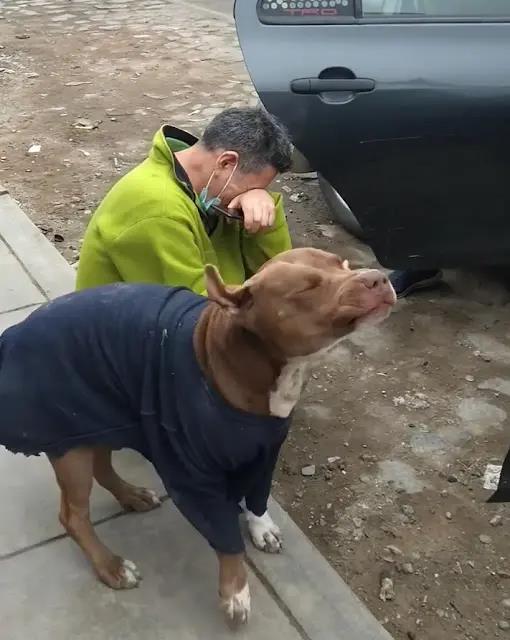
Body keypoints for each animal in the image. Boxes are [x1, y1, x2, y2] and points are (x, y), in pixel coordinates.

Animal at [0, 246, 396, 624]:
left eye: (343, 264)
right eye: (306, 288)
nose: (378, 278)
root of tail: (14, 334)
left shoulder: (265, 452)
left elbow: (257, 495)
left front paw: (261, 527)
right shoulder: (191, 475)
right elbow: (223, 535)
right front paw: (236, 591)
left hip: (100, 418)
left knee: (101, 466)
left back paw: (131, 495)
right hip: (67, 437)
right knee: (74, 516)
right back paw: (110, 567)